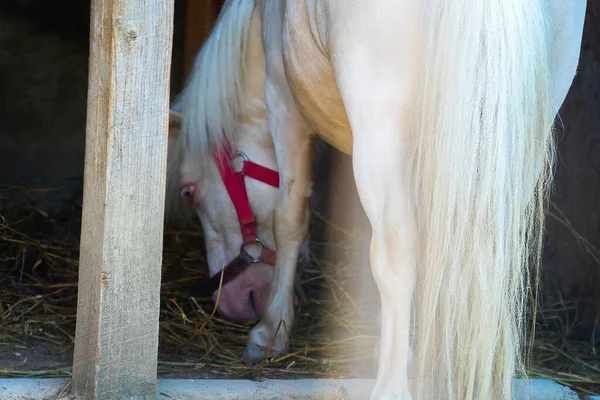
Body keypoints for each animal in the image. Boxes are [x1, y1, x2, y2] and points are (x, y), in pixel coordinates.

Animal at [168, 0, 584, 398]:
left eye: (189, 192)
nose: (229, 301)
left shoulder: (284, 103)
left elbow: (289, 219)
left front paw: (270, 331)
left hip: (380, 130)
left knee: (395, 253)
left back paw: (390, 387)